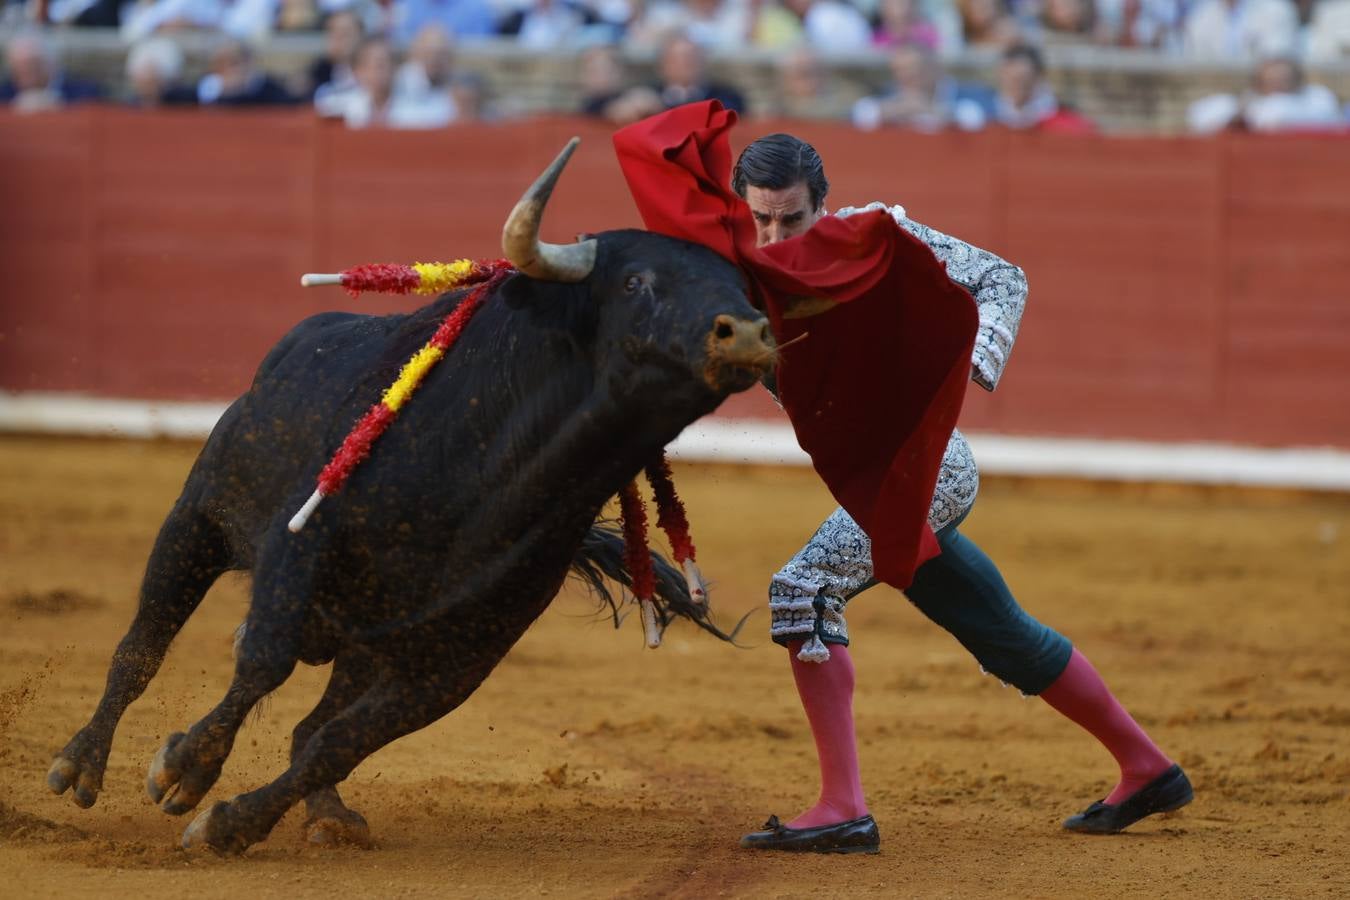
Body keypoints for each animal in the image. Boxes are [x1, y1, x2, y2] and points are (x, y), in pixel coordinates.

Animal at [44, 138, 783, 852]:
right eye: (635, 282)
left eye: (740, 286)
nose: (746, 332)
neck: (487, 480)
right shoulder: (298, 546)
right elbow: (262, 661)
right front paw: (184, 768)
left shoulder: (459, 655)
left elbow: (341, 741)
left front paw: (232, 824)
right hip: (197, 520)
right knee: (142, 646)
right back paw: (79, 764)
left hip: (365, 640)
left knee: (311, 726)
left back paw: (329, 815)